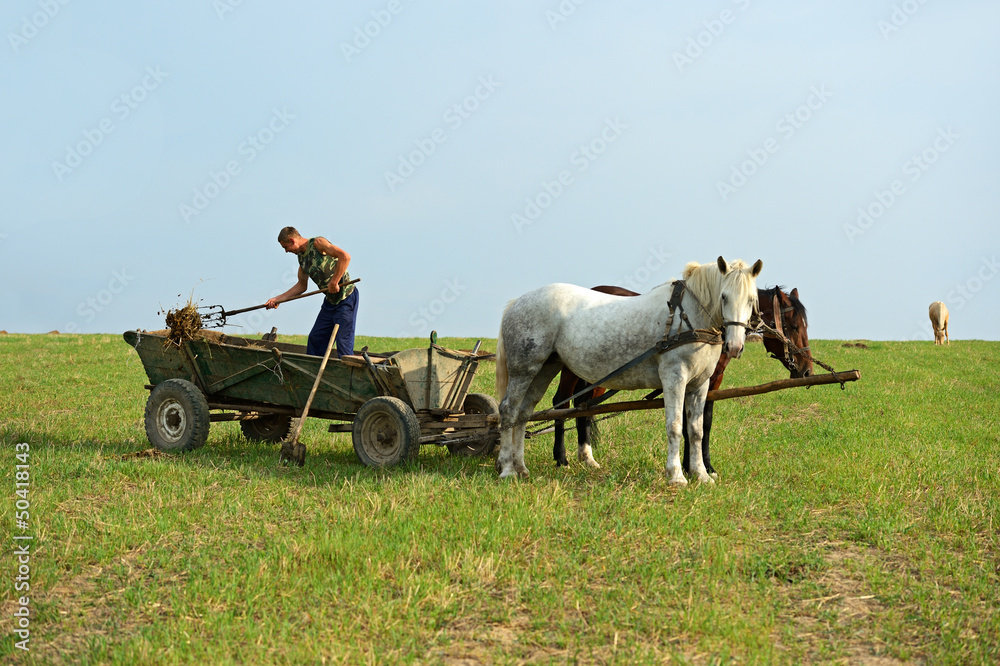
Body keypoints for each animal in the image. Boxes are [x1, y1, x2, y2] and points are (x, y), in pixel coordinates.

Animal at [495, 256, 762, 484]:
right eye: (724, 296)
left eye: (751, 299)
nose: (735, 346)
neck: (687, 317)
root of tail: (517, 302)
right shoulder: (675, 378)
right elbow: (675, 426)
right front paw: (677, 475)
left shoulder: (701, 383)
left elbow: (696, 430)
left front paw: (701, 474)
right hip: (525, 369)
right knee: (509, 410)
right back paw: (508, 468)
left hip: (544, 368)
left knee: (524, 412)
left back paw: (521, 467)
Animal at [550, 285, 812, 476]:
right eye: (794, 326)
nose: (807, 371)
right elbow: (688, 426)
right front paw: (690, 467)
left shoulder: (711, 382)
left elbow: (703, 424)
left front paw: (703, 467)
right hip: (573, 371)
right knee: (561, 403)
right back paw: (561, 458)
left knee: (583, 406)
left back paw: (587, 458)